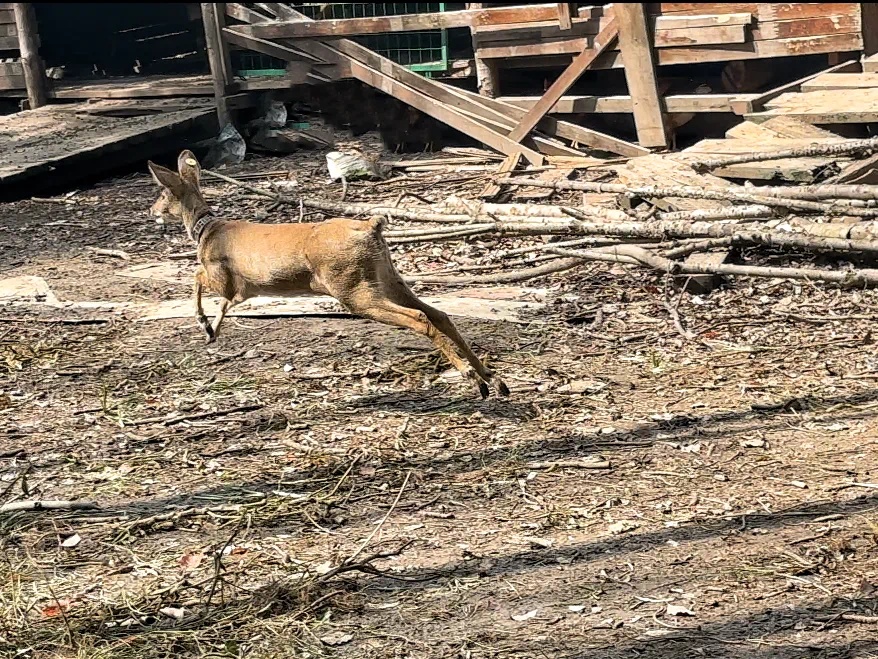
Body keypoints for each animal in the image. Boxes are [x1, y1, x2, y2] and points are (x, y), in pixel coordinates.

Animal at [149, 151, 512, 398]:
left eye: (162, 194)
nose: (152, 210)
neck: (206, 230)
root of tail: (370, 226)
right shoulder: (240, 290)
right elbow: (216, 299)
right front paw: (212, 330)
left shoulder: (225, 279)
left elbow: (196, 276)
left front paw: (205, 324)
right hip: (387, 277)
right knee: (439, 313)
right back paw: (493, 379)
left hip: (352, 287)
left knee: (420, 318)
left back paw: (471, 376)